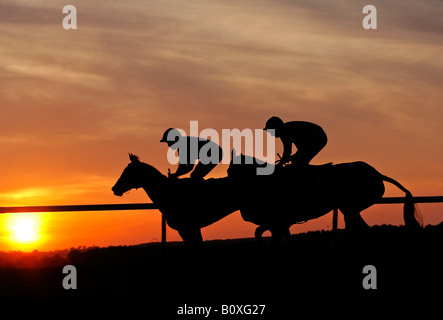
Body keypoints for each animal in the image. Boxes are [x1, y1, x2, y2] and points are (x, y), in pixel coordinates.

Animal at [229, 152, 424, 242]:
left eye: (233, 171)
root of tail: (377, 174)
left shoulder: (281, 221)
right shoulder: (277, 222)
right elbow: (261, 233)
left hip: (349, 207)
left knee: (355, 228)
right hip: (351, 208)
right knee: (360, 228)